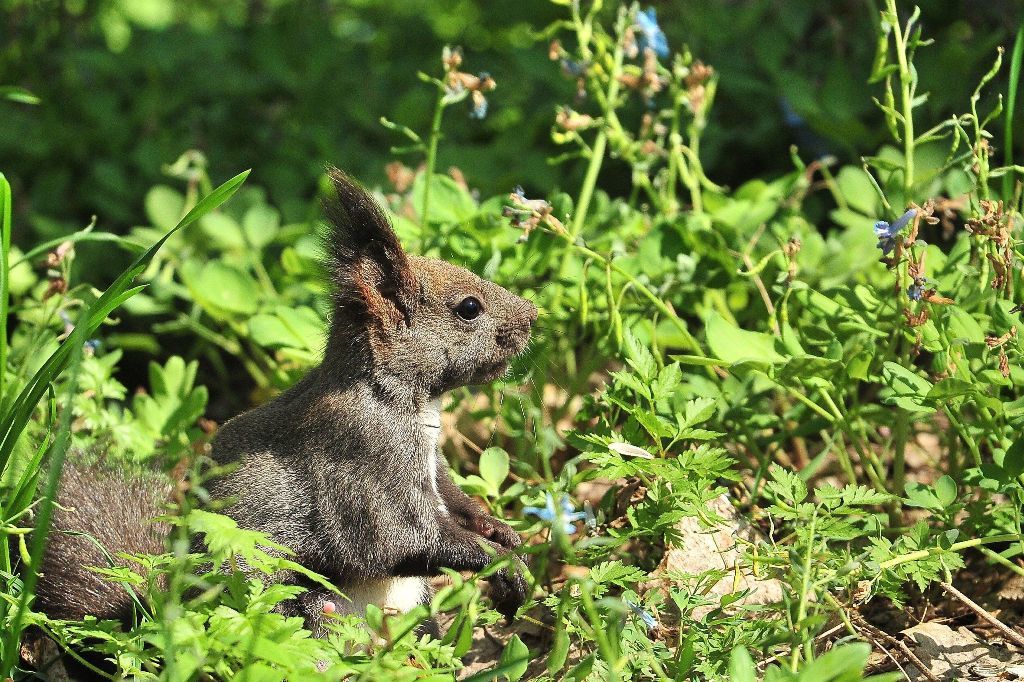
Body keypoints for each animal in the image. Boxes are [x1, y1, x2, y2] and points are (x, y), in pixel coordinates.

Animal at [37, 166, 536, 634]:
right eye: (468, 308)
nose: (533, 316)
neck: (400, 397)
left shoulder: (434, 462)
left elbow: (453, 498)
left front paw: (499, 529)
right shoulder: (365, 458)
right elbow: (400, 540)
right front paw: (502, 562)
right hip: (289, 602)